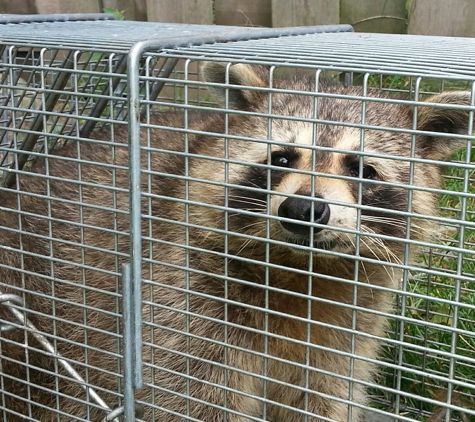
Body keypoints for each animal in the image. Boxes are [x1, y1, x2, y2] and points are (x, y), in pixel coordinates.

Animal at [0, 61, 470, 420]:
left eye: (362, 170)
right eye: (281, 158)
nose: (303, 210)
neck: (299, 271)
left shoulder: (345, 329)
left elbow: (322, 399)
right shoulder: (180, 294)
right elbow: (185, 400)